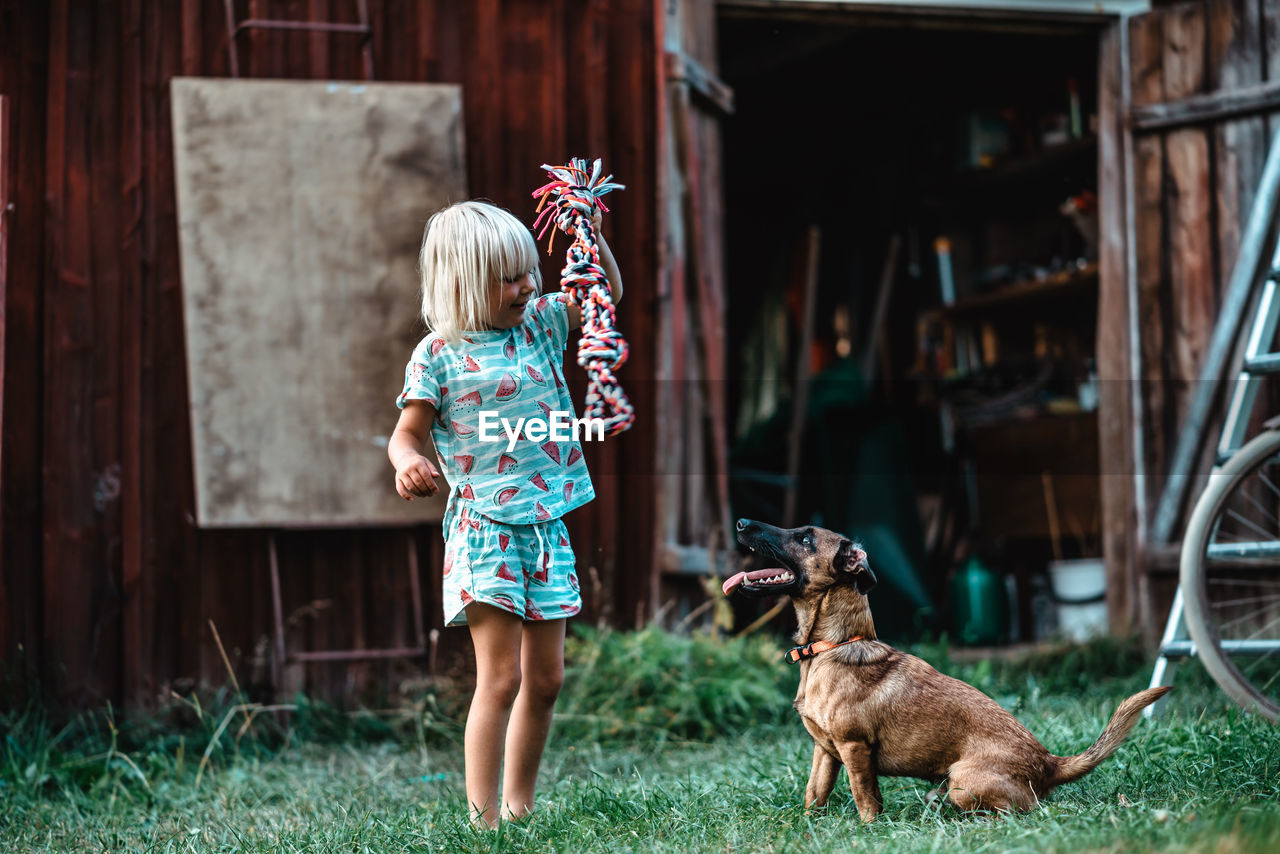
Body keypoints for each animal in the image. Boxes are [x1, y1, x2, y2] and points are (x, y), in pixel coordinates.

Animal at [721, 522, 1172, 819]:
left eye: (805, 538)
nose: (741, 522)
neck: (832, 647)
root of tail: (1049, 763)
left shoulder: (854, 748)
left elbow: (864, 795)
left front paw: (868, 830)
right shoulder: (825, 750)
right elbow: (814, 793)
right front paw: (806, 826)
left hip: (962, 783)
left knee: (1015, 810)